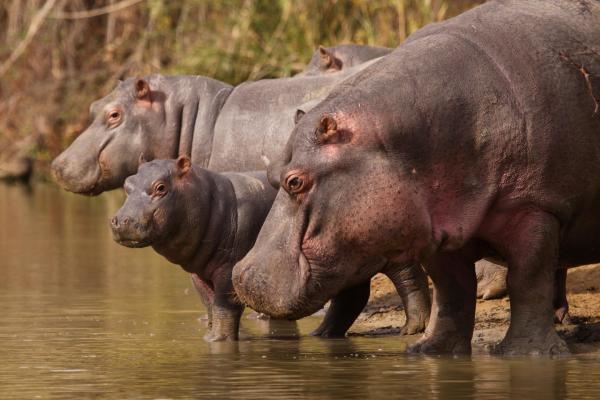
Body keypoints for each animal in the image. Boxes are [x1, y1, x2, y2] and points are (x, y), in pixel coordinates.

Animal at [110, 156, 434, 340]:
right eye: (127, 184)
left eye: (161, 187)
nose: (122, 220)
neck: (210, 199)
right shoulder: (198, 274)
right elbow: (210, 306)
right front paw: (209, 338)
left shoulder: (230, 269)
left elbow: (225, 307)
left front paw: (220, 342)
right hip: (340, 258)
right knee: (351, 297)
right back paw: (321, 335)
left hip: (391, 251)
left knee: (410, 279)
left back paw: (411, 329)